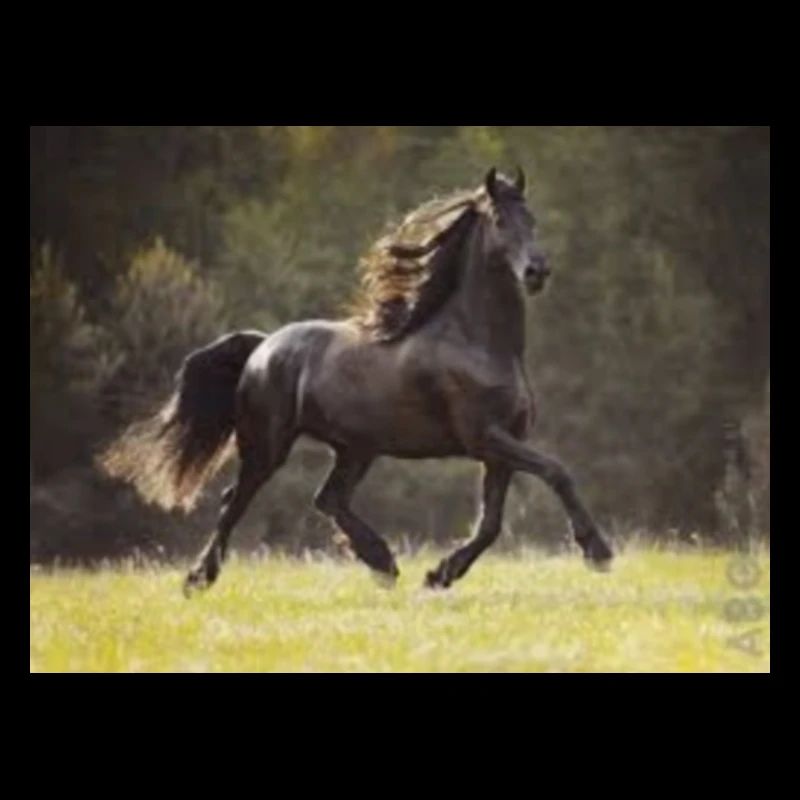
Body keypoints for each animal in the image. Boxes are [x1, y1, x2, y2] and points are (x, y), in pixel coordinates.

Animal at [99, 167, 613, 595]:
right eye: (501, 221)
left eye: (533, 219)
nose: (537, 271)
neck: (479, 342)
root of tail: (263, 347)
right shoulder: (485, 437)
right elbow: (556, 471)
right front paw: (598, 550)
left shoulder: (499, 447)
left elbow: (491, 523)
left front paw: (439, 574)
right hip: (268, 445)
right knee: (235, 501)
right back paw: (198, 580)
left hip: (356, 448)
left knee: (327, 498)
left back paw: (382, 562)